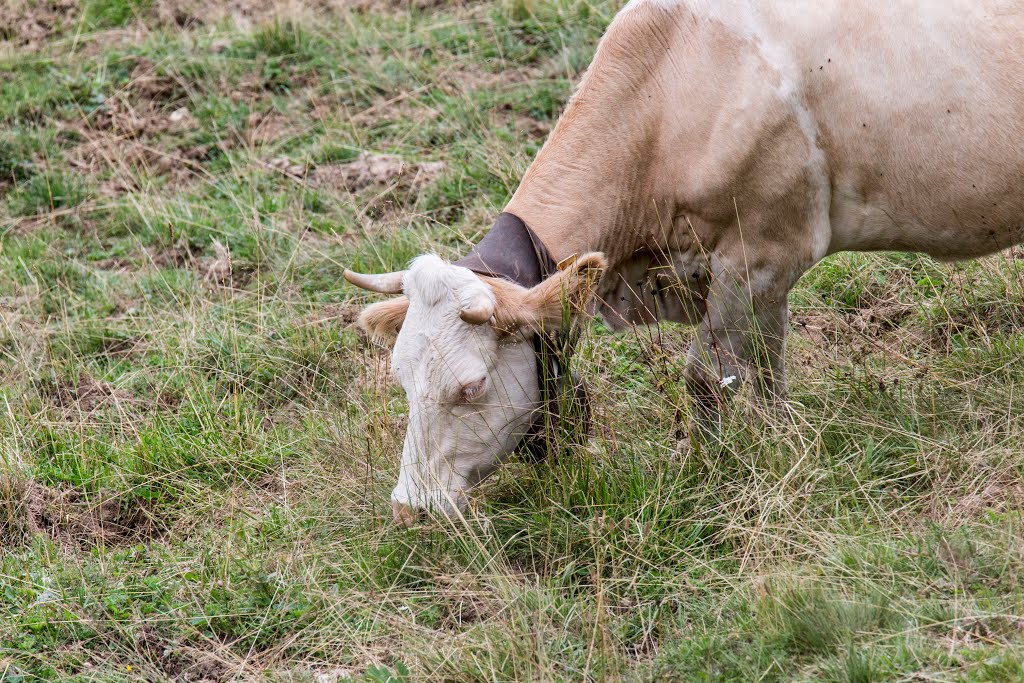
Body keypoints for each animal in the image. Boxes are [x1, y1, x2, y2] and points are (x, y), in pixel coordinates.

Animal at [342, 0, 1024, 528]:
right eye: (400, 378)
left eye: (471, 386)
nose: (410, 509)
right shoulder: (752, 276)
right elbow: (767, 369)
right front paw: (781, 439)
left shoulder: (761, 256)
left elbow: (706, 377)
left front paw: (706, 465)